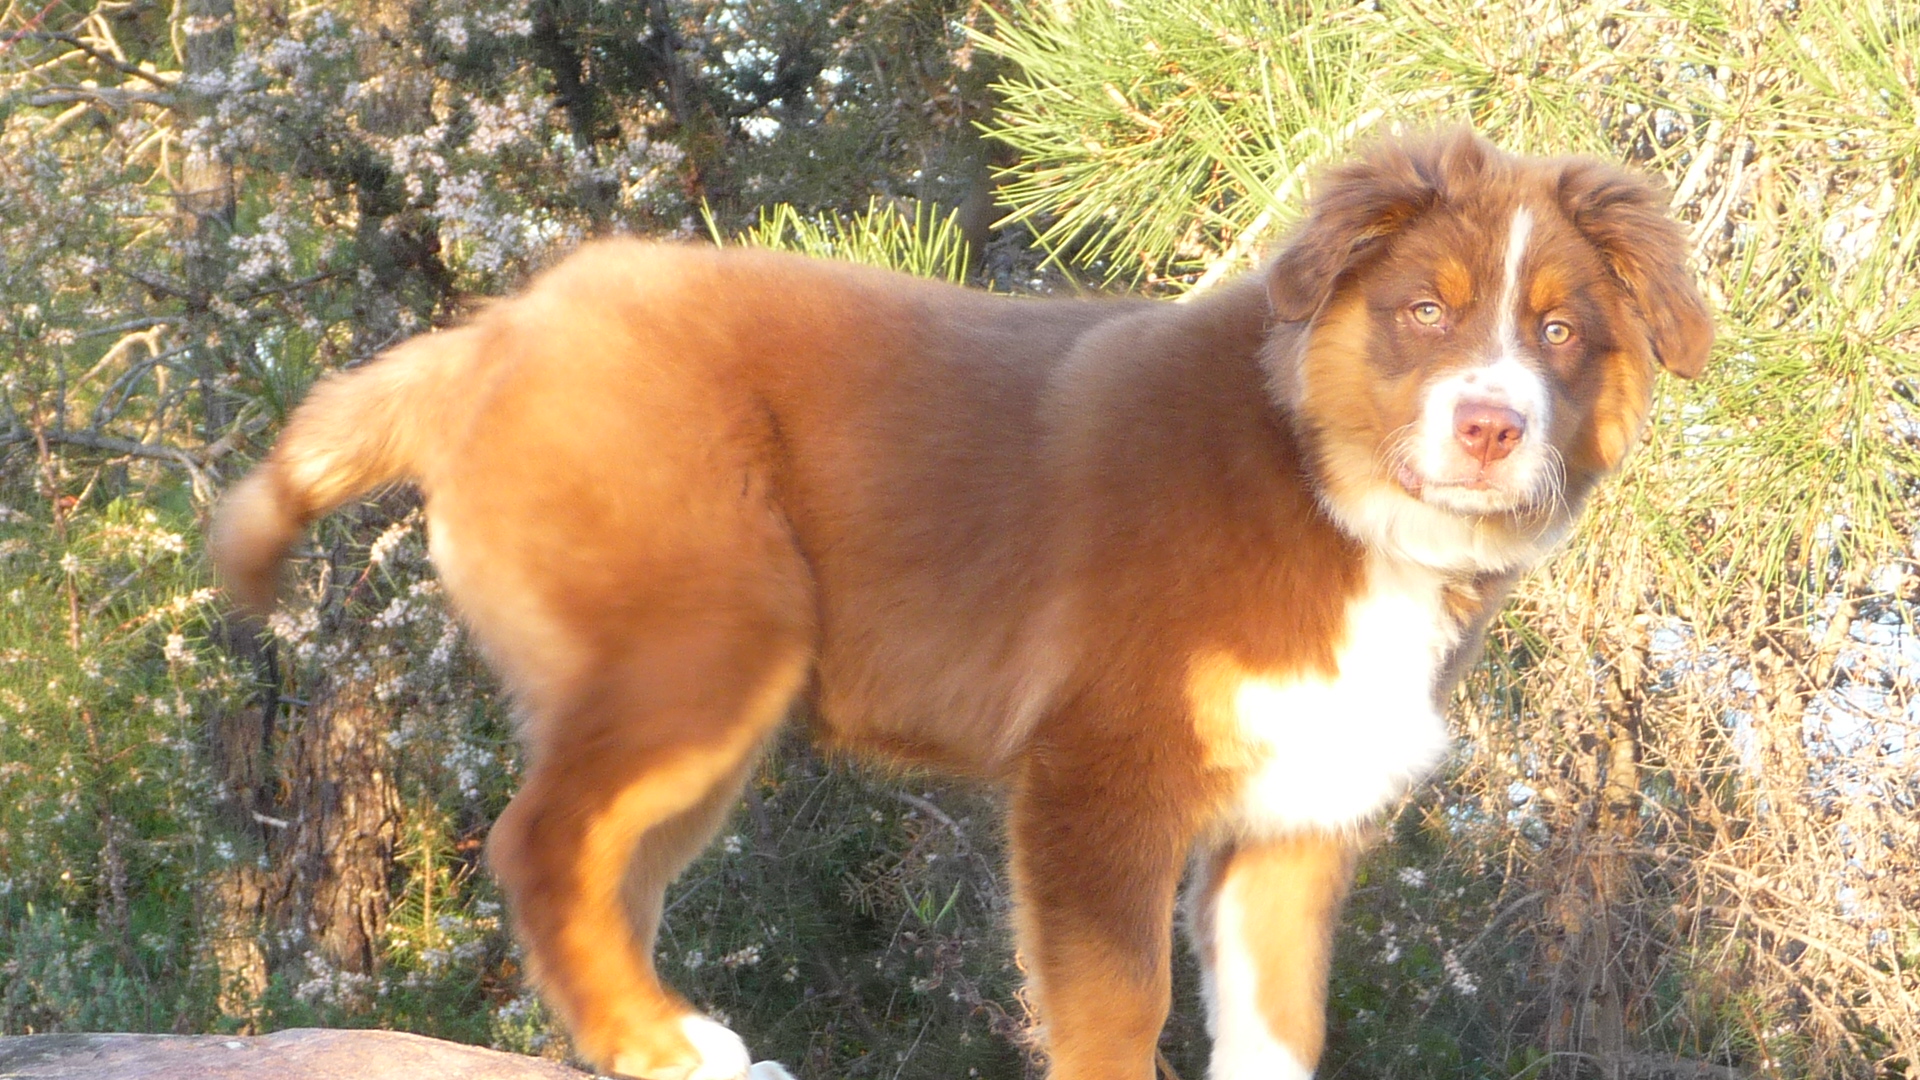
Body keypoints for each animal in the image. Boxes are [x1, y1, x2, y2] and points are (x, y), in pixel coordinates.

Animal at [212, 130, 1711, 1080]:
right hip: (699, 634)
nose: (1490, 429)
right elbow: (1117, 1013)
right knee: (545, 845)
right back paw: (662, 1046)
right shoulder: (1101, 776)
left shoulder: (1295, 816)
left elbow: (1277, 1031)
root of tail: (487, 340)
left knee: (608, 865)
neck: (1324, 483)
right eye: (1422, 312)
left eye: (1561, 332)